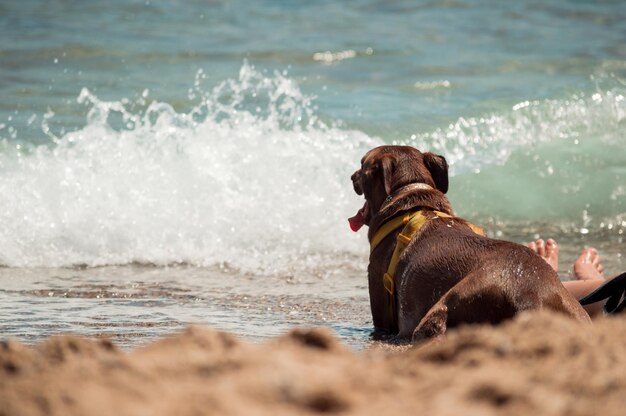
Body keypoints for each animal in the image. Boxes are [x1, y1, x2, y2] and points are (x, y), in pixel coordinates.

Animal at [348, 145, 588, 342]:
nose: (351, 176)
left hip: (445, 307)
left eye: (362, 164)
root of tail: (529, 296)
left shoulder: (379, 297)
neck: (411, 192)